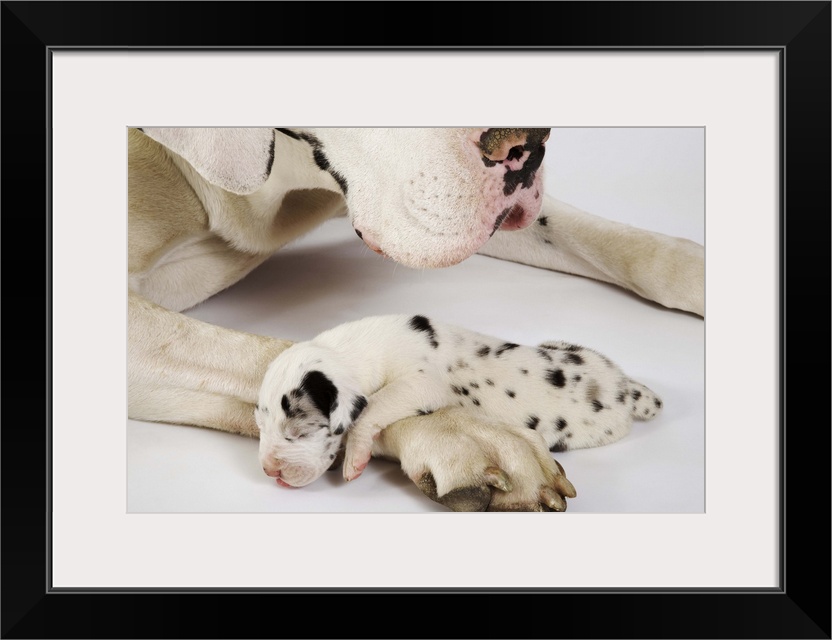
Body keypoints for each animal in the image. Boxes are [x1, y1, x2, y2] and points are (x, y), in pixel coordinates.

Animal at [256, 314, 662, 509]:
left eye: (298, 433)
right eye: (261, 426)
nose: (269, 471)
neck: (353, 350)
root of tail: (628, 389)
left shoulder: (420, 382)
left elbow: (374, 407)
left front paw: (355, 458)